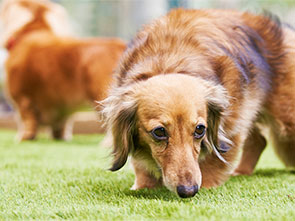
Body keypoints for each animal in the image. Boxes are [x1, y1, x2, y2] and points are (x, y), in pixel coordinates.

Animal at [100, 9, 294, 199]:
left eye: (200, 129)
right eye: (159, 132)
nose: (188, 190)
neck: (167, 62)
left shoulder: (232, 124)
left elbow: (214, 160)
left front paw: (207, 185)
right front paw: (144, 186)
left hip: (284, 119)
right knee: (259, 141)